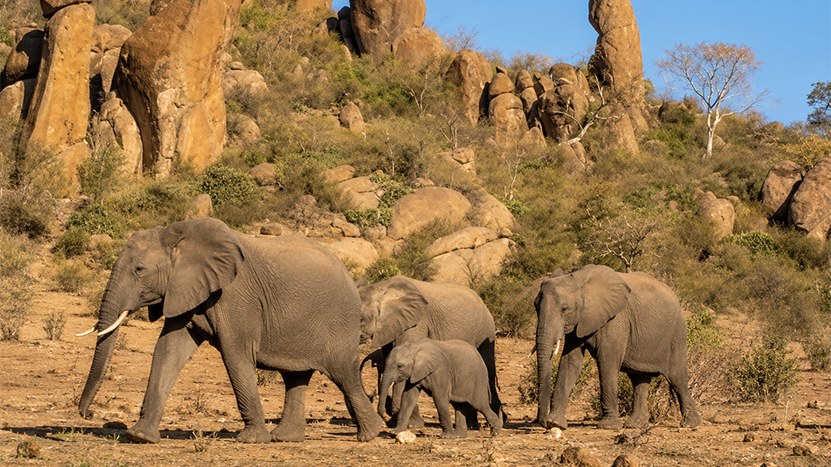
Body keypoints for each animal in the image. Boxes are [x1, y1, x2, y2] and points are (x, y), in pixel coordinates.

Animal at [76, 217, 383, 443]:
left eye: (139, 269)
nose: (88, 414)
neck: (178, 236)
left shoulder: (235, 296)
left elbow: (236, 352)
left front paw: (251, 440)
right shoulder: (186, 290)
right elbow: (168, 349)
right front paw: (140, 436)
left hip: (338, 320)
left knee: (343, 373)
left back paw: (371, 434)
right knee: (296, 376)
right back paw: (285, 438)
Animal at [356, 276, 502, 428]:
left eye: (360, 318)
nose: (384, 416)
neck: (380, 288)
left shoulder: (416, 323)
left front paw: (408, 422)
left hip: (485, 331)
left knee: (489, 369)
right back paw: (472, 423)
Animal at [533, 264, 700, 431]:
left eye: (564, 309)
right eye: (536, 308)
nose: (542, 422)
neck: (579, 280)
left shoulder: (616, 320)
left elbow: (607, 361)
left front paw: (609, 426)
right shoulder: (579, 320)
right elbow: (570, 362)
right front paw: (555, 423)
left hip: (677, 334)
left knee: (677, 378)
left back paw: (690, 424)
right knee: (640, 379)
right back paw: (635, 425)